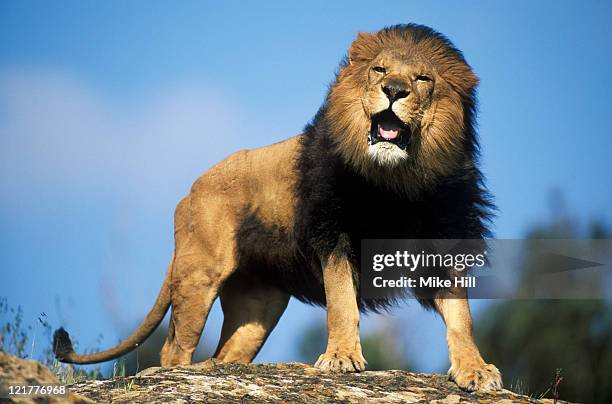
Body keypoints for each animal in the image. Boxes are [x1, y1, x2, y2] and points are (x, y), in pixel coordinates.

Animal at [52, 24, 502, 392]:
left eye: (423, 78)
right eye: (379, 70)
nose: (394, 91)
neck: (397, 181)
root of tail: (189, 191)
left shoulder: (443, 241)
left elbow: (461, 316)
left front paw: (476, 369)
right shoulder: (334, 234)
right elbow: (342, 302)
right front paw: (341, 357)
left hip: (258, 306)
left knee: (224, 356)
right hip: (197, 276)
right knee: (173, 352)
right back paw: (175, 376)